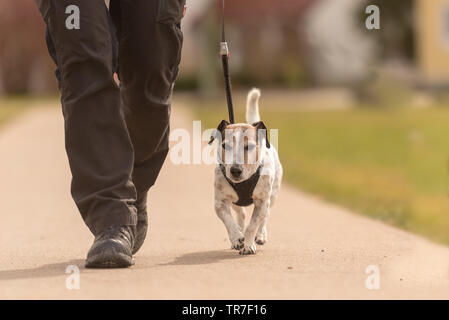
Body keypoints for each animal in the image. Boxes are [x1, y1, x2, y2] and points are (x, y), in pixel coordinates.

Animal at [209, 89, 280, 255]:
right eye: (225, 146)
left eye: (249, 146)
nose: (235, 170)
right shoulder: (220, 202)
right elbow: (228, 220)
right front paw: (237, 237)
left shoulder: (261, 202)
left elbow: (253, 224)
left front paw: (248, 243)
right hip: (235, 202)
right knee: (240, 214)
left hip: (272, 196)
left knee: (265, 216)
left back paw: (260, 235)